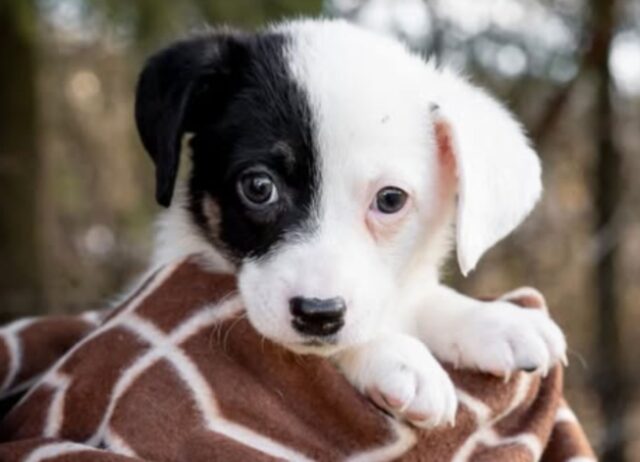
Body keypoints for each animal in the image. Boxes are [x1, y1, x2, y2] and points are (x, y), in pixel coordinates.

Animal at [134, 19, 564, 430]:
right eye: (259, 187)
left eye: (390, 199)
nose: (317, 314)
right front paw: (396, 354)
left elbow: (418, 297)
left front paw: (492, 321)